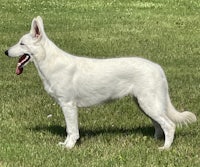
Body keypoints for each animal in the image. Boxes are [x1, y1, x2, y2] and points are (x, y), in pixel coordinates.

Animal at [5, 16, 197, 149]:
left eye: (22, 43)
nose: (6, 51)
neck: (50, 63)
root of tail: (158, 67)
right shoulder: (67, 105)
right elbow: (69, 130)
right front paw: (65, 145)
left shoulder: (68, 104)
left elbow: (71, 130)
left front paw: (69, 147)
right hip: (144, 103)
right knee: (159, 124)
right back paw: (156, 140)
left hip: (148, 103)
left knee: (169, 125)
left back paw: (165, 148)